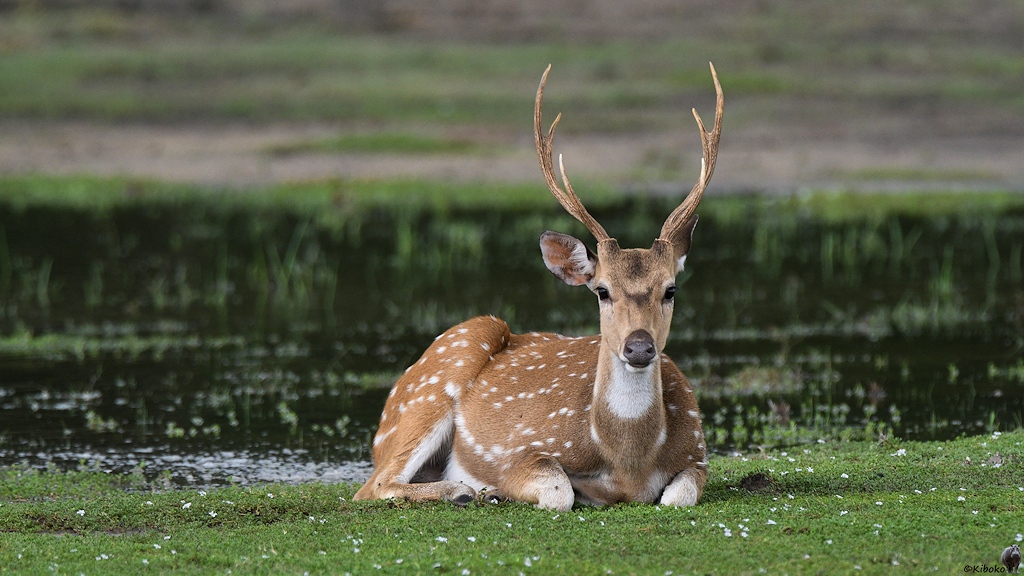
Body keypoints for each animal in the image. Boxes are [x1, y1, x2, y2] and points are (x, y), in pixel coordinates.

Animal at [353, 63, 723, 511]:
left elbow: (677, 496)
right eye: (601, 290)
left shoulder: (697, 455)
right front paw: (498, 488)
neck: (627, 464)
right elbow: (558, 490)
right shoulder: (522, 451)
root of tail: (384, 417)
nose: (638, 347)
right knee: (372, 486)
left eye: (670, 289)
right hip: (434, 380)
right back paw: (464, 491)